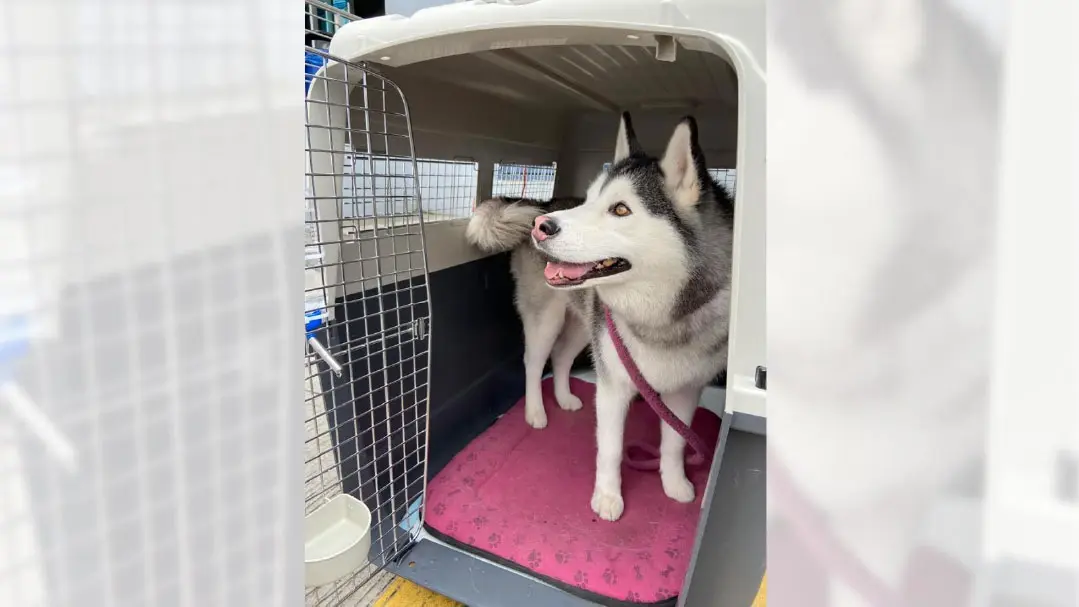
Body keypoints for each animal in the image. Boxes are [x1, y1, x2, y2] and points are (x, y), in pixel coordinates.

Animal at [461, 194, 586, 426]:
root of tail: (545, 205)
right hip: (547, 316)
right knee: (533, 362)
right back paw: (535, 411)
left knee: (561, 357)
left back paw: (563, 397)